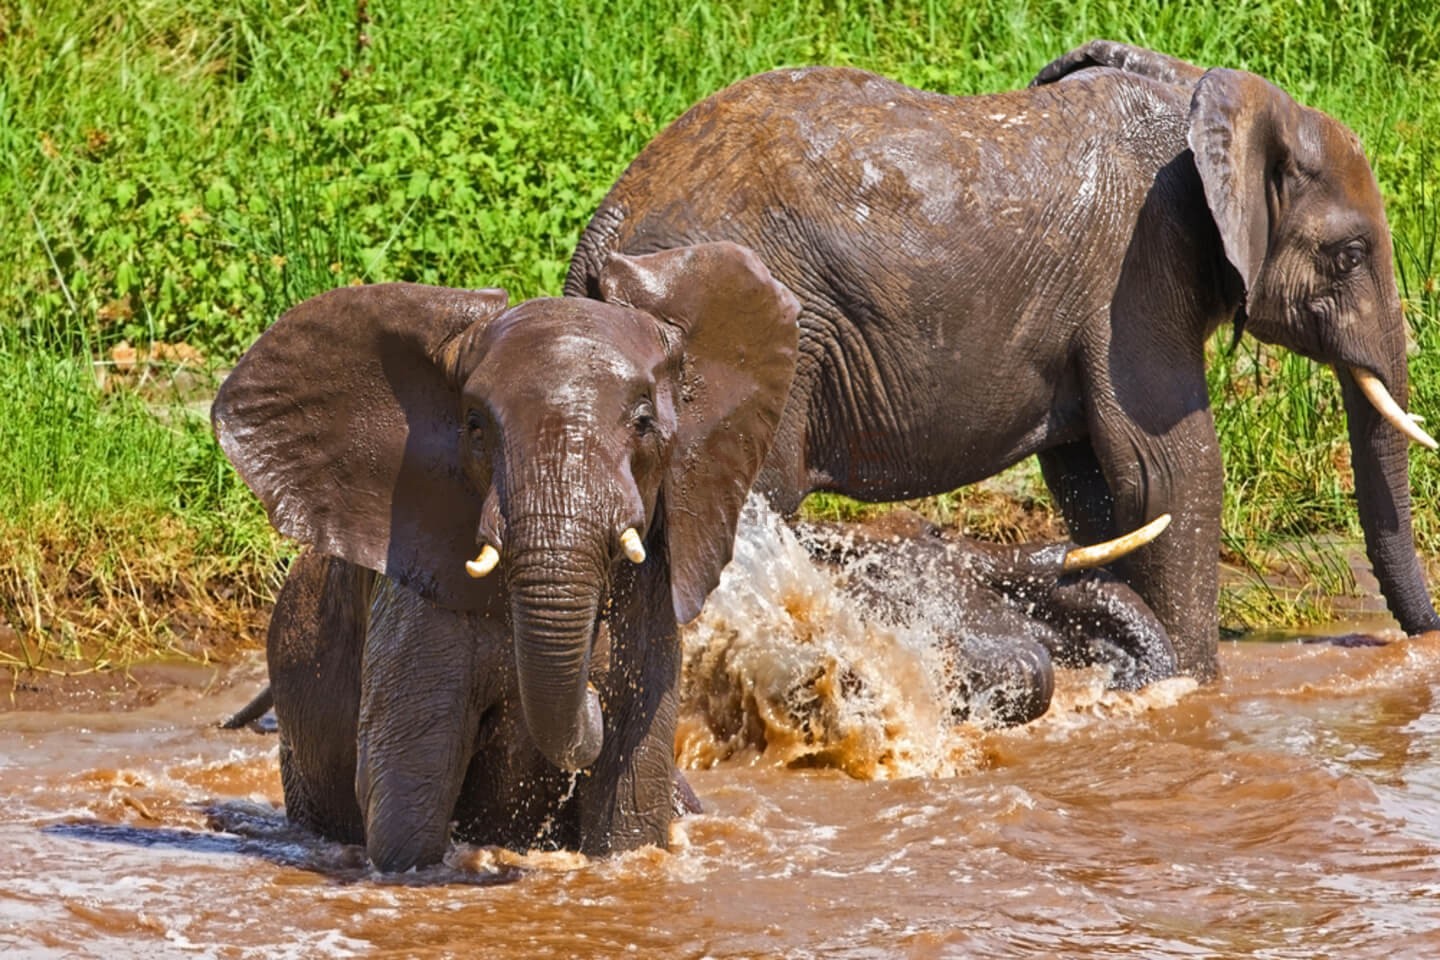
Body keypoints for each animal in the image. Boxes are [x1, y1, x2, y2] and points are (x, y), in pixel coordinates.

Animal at [210, 240, 800, 869]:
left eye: (644, 422)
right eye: (474, 425)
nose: (593, 696)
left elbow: (633, 801)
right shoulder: (413, 600)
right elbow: (407, 789)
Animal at [564, 39, 1440, 682]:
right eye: (1347, 255)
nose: (1418, 641)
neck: (1201, 95)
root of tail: (604, 224)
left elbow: (1097, 481)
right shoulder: (1139, 270)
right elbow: (1170, 472)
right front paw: (1192, 692)